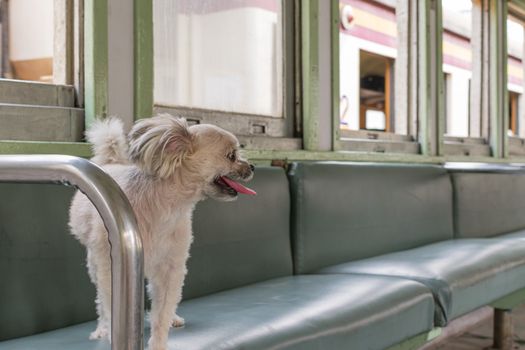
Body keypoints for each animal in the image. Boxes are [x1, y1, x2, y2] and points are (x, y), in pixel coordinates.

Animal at [68, 115, 255, 350]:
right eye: (231, 156)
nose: (252, 166)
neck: (167, 208)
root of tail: (110, 164)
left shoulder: (171, 269)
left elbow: (162, 313)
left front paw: (158, 342)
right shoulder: (110, 271)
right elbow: (109, 307)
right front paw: (110, 332)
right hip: (94, 264)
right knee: (100, 302)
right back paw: (101, 328)